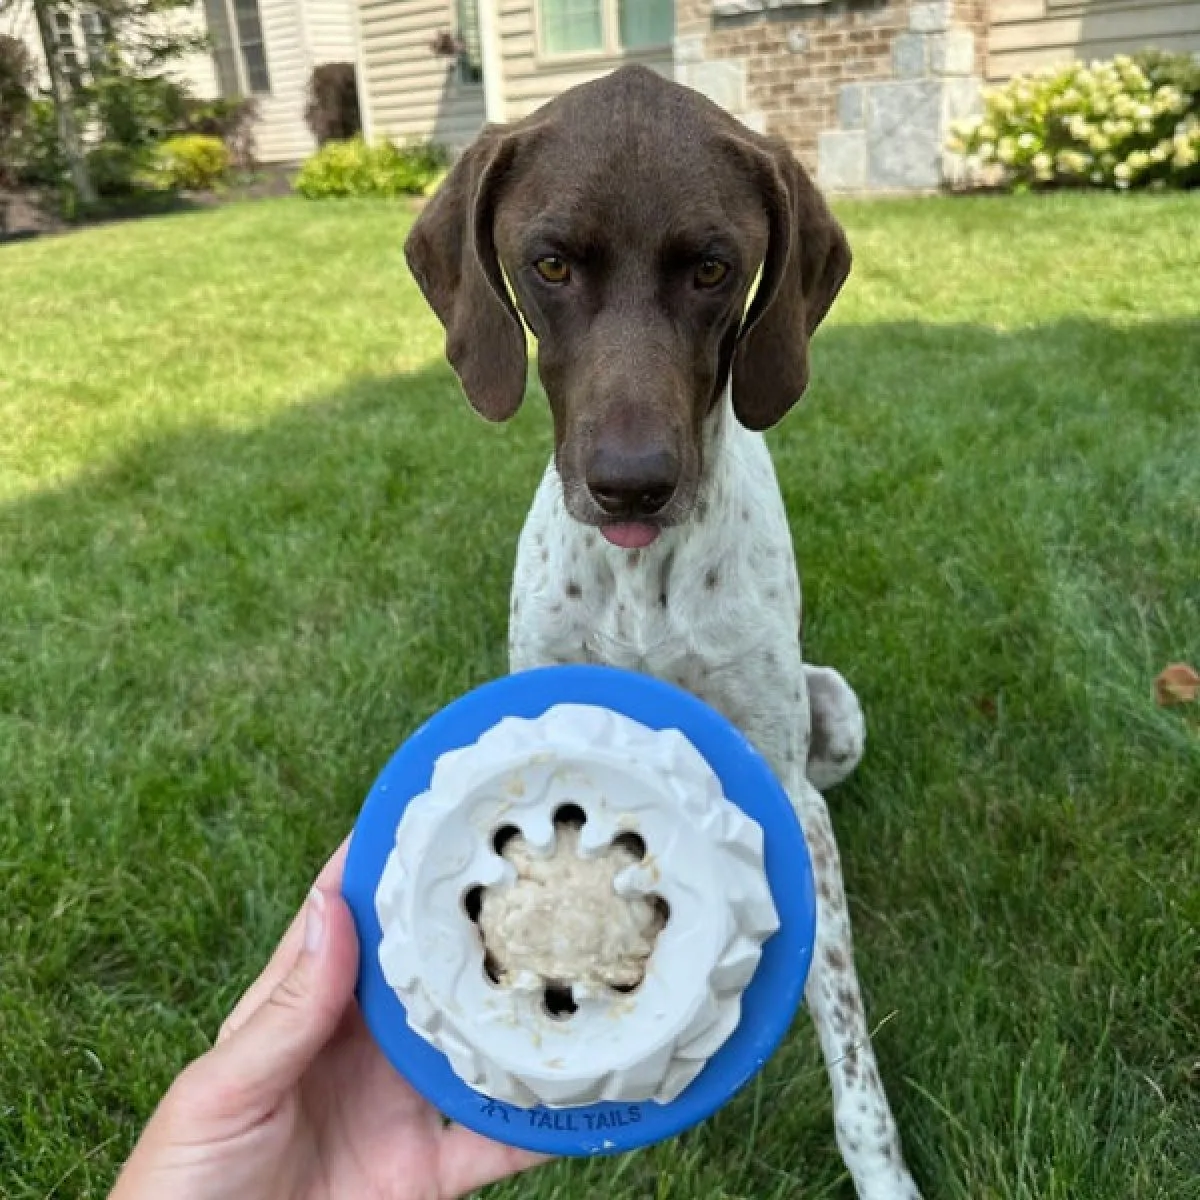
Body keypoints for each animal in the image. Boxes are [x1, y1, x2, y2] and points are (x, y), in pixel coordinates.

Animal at [403, 63, 916, 1200]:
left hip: (836, 709)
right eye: (548, 263)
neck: (641, 580)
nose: (631, 484)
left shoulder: (787, 781)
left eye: (714, 269)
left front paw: (885, 1173)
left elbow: (845, 1028)